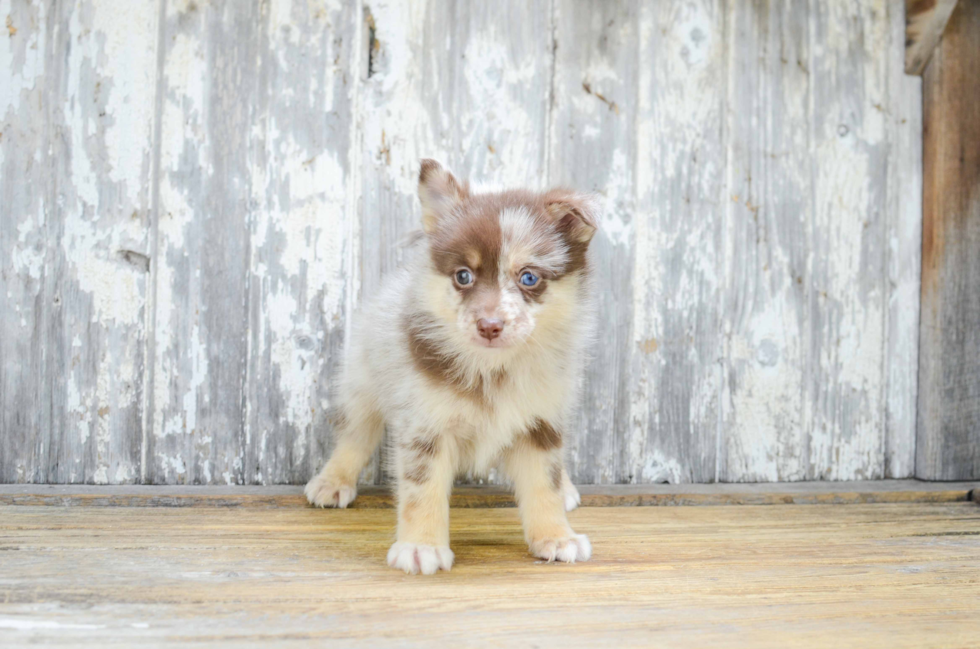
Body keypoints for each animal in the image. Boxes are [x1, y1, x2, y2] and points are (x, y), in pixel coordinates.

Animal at [304, 159, 596, 576]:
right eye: (463, 276)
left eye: (529, 277)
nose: (489, 326)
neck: (494, 369)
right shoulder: (425, 425)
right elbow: (421, 491)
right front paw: (420, 547)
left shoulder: (542, 423)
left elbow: (545, 484)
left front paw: (557, 536)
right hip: (362, 382)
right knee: (355, 435)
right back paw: (333, 480)